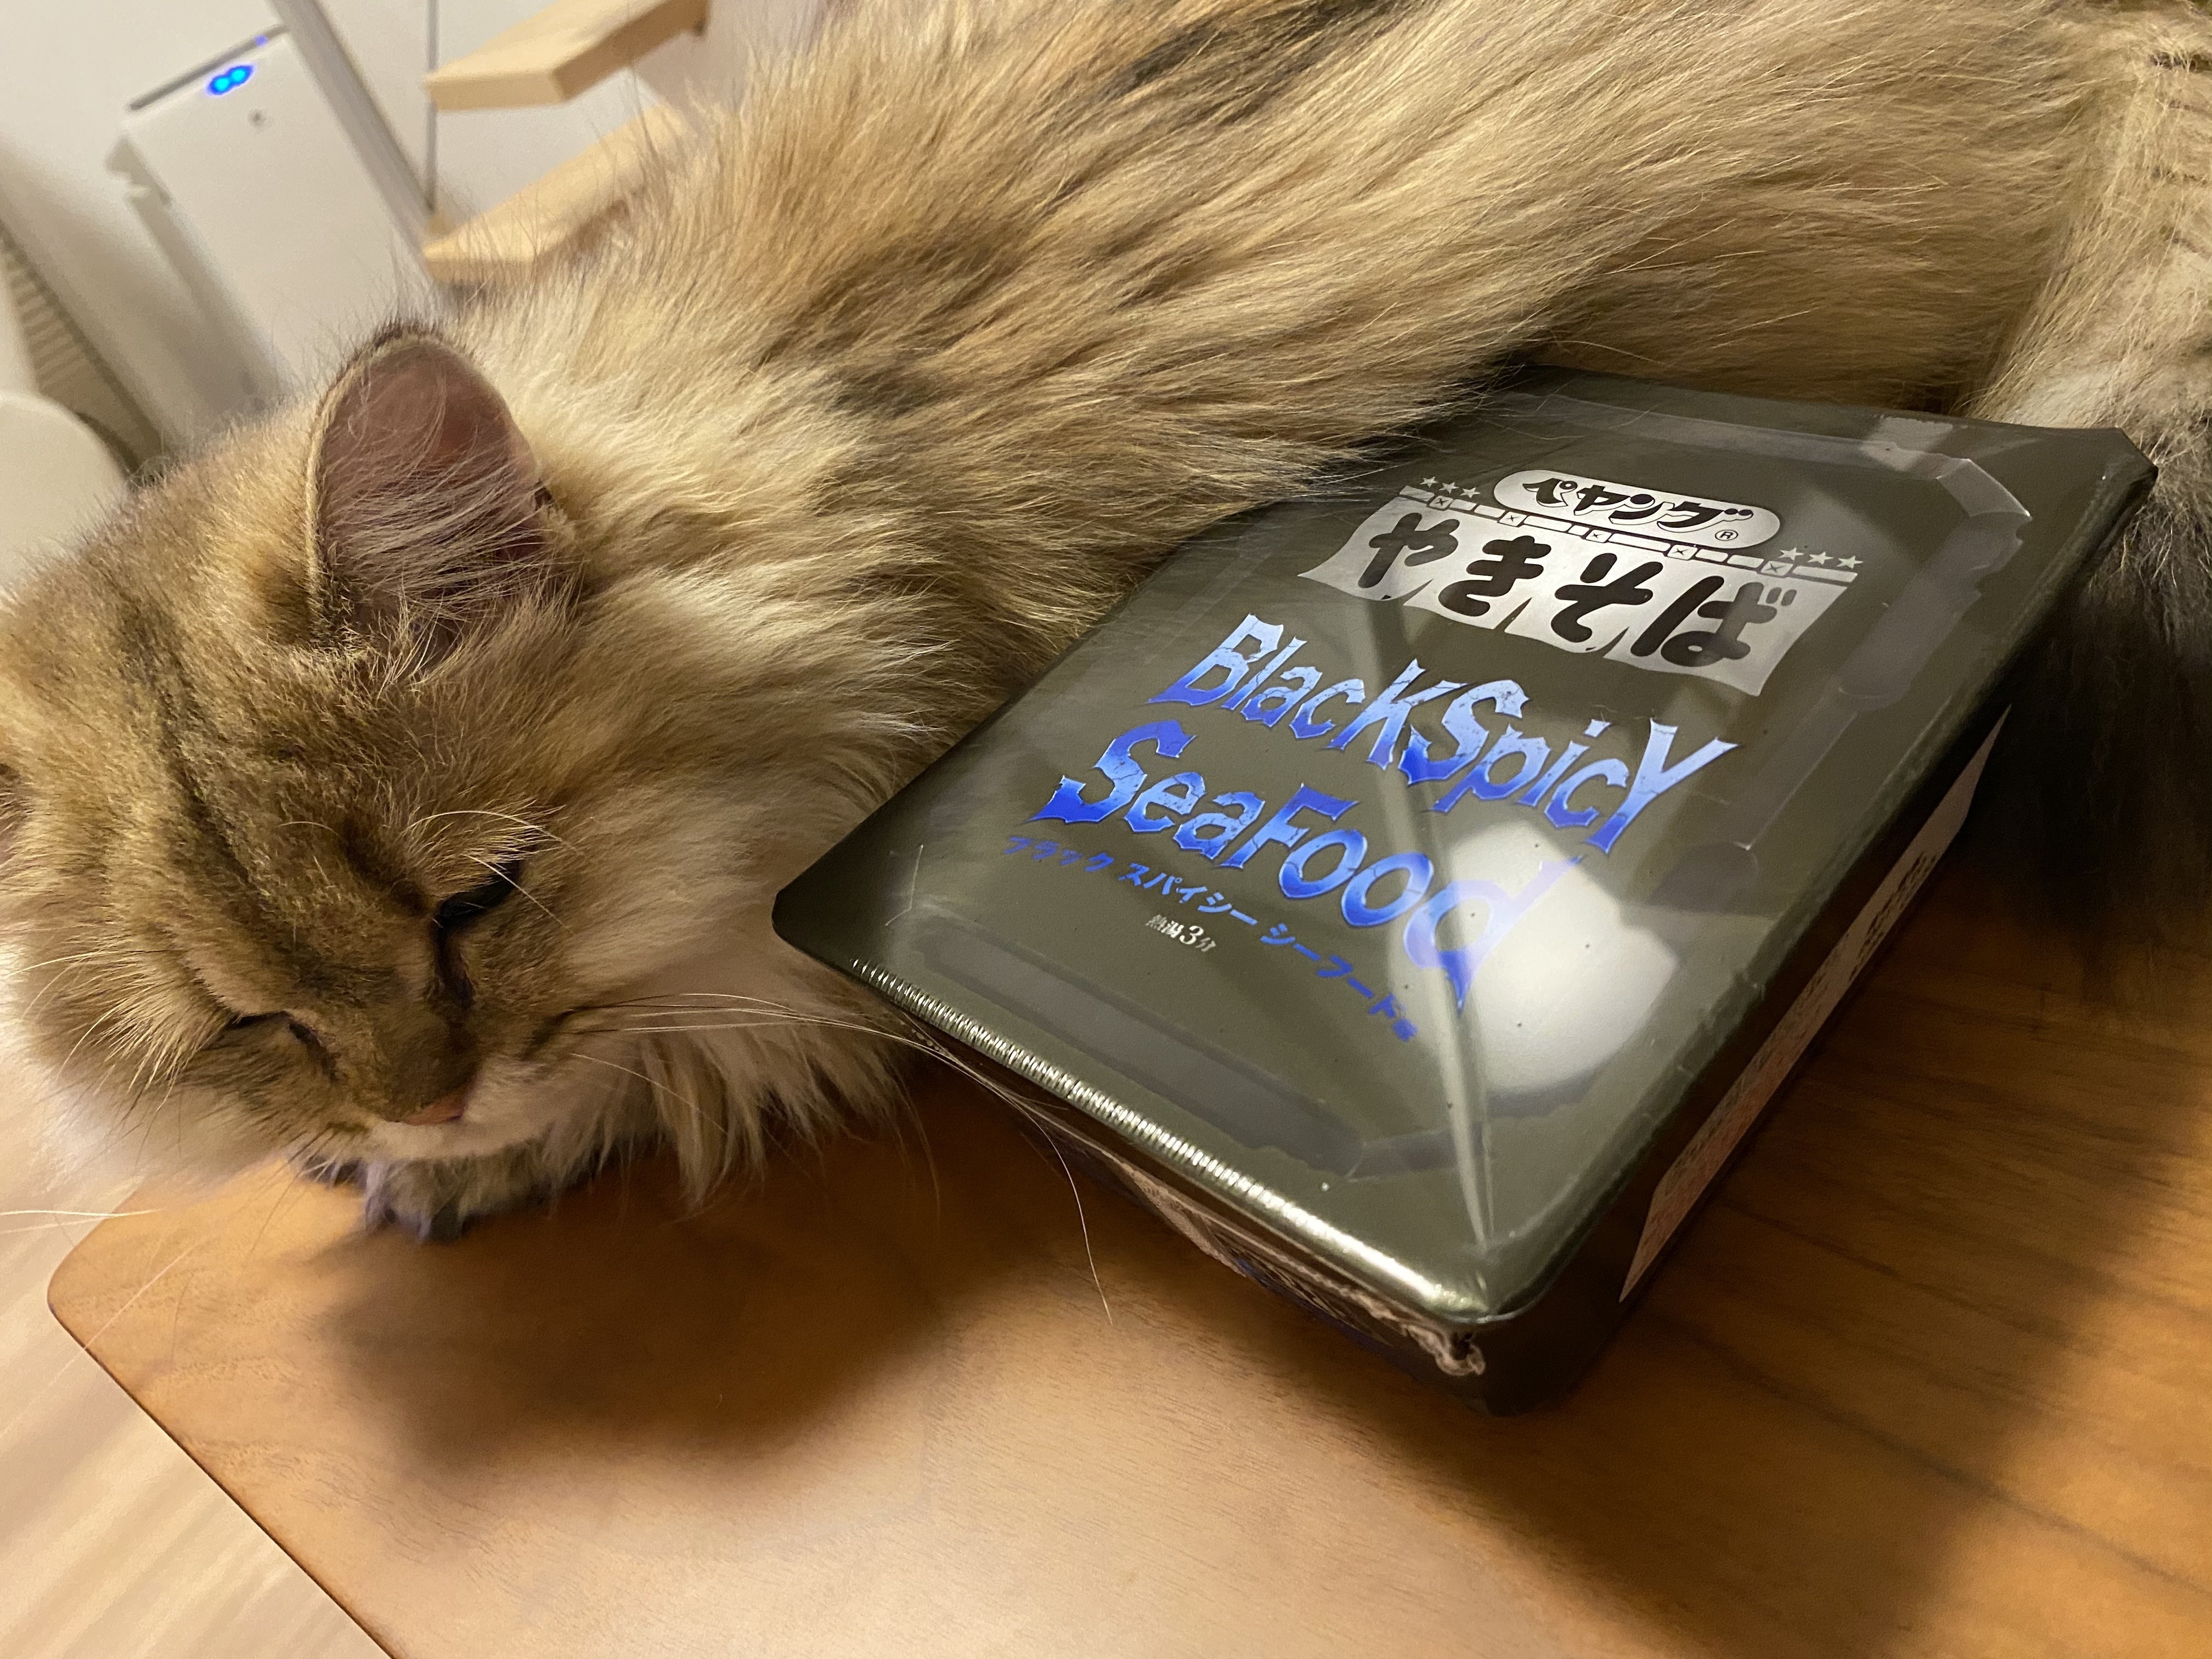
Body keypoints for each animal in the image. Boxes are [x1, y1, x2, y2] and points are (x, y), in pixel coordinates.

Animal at [3, 0, 2209, 1238]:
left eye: (483, 897)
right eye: (253, 1028)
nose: (426, 1098)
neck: (854, 430)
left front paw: (496, 1144)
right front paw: (438, 1160)